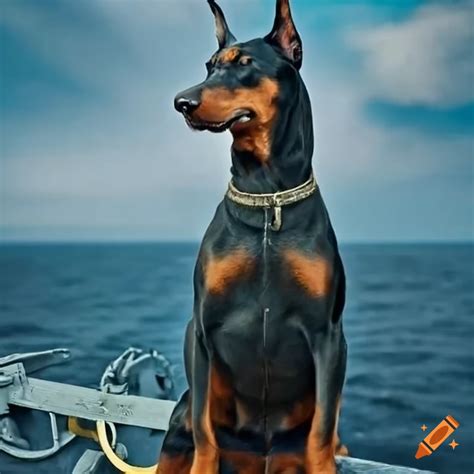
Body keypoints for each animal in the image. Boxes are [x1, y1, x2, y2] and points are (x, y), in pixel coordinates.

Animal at [159, 0, 348, 474]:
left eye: (245, 64)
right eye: (209, 66)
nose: (181, 102)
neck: (267, 198)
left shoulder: (328, 335)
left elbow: (323, 426)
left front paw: (329, 455)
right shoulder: (202, 329)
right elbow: (204, 428)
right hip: (176, 433)